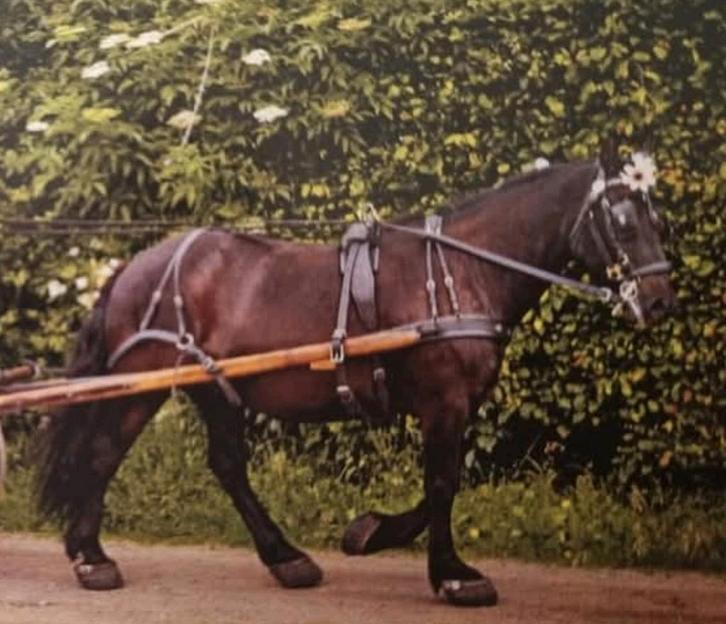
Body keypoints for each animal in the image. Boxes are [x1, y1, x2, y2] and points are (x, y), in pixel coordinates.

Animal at [37, 141, 675, 607]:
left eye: (657, 218)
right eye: (622, 220)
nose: (659, 300)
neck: (461, 269)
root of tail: (135, 266)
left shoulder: (459, 404)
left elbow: (443, 484)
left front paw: (371, 533)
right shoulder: (445, 401)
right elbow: (442, 484)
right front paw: (452, 574)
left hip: (213, 388)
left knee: (227, 466)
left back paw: (286, 558)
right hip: (139, 386)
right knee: (103, 454)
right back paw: (91, 557)